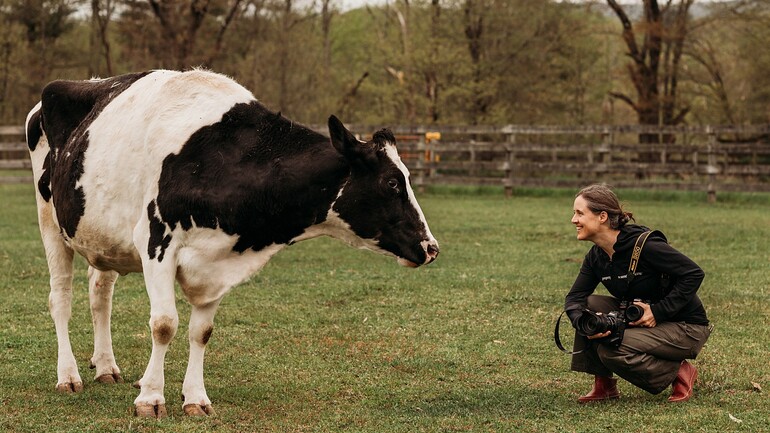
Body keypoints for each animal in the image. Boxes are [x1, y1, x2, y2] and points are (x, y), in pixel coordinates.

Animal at [25, 69, 439, 418]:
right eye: (391, 183)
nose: (431, 247)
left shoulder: (218, 262)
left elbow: (201, 332)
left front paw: (195, 399)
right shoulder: (157, 243)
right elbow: (164, 324)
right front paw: (151, 398)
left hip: (101, 236)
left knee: (100, 294)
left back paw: (106, 366)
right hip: (50, 223)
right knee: (61, 299)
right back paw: (69, 376)